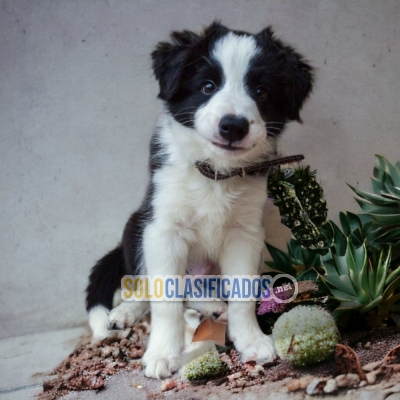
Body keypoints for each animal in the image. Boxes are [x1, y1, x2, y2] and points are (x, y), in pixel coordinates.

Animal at [86, 21, 312, 378]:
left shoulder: (245, 234)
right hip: (136, 226)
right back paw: (127, 312)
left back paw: (214, 307)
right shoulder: (163, 230)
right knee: (150, 284)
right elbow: (165, 299)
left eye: (261, 92)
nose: (233, 125)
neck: (214, 173)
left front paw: (251, 340)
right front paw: (162, 352)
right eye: (207, 86)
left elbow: (242, 293)